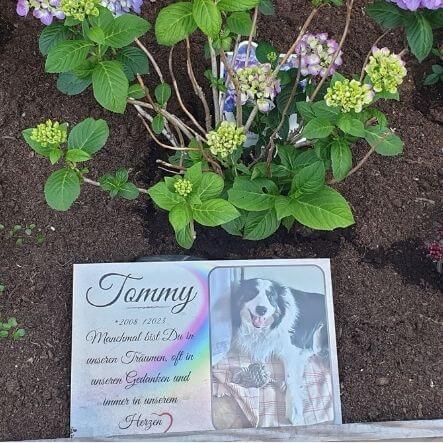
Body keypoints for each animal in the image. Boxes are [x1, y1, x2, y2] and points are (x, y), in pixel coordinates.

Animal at [232, 280, 330, 424]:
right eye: (252, 293)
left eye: (270, 296)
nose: (262, 310)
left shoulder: (291, 348)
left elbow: (291, 377)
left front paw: (294, 409)